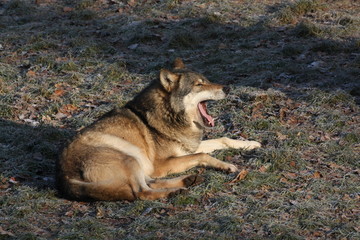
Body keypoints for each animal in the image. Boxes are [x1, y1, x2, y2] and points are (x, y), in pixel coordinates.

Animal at [56, 58, 260, 201]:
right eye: (198, 84)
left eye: (207, 80)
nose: (228, 88)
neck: (168, 115)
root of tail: (64, 177)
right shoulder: (162, 164)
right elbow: (202, 155)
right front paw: (227, 166)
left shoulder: (188, 148)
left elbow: (222, 140)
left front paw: (251, 144)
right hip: (130, 158)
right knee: (141, 192)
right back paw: (175, 191)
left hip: (138, 164)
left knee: (150, 183)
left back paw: (189, 180)